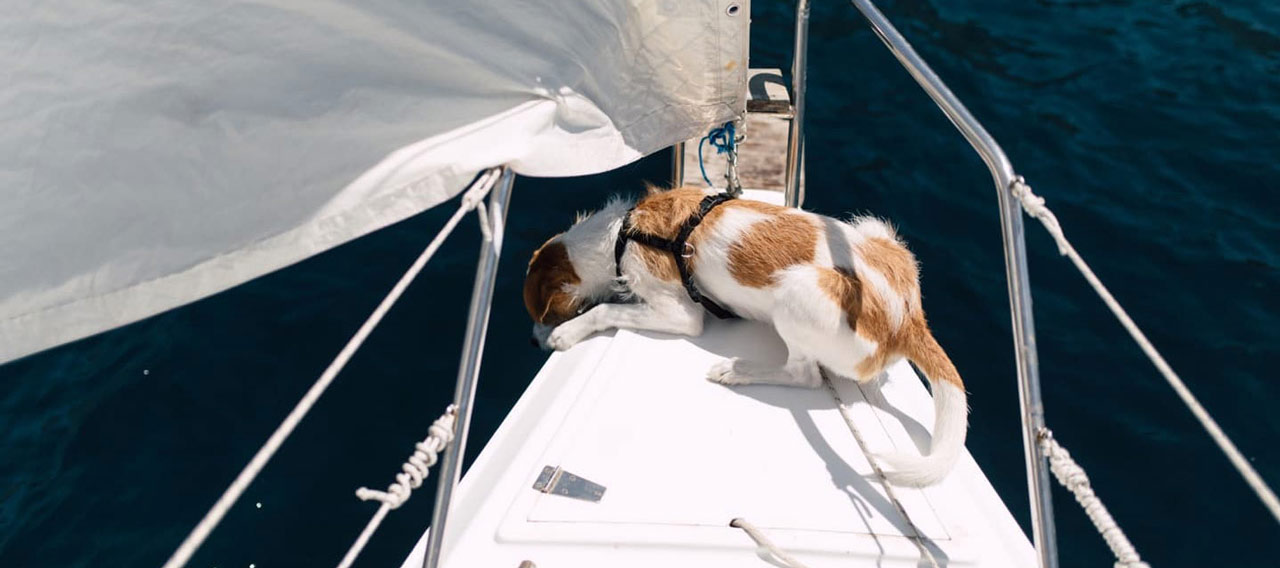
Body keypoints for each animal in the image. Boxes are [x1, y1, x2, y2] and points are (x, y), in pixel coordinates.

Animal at [519, 188, 962, 488]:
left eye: (540, 315)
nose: (531, 343)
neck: (620, 236)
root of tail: (907, 317)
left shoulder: (681, 313)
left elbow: (605, 310)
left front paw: (567, 333)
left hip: (798, 290)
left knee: (803, 374)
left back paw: (739, 370)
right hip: (873, 226)